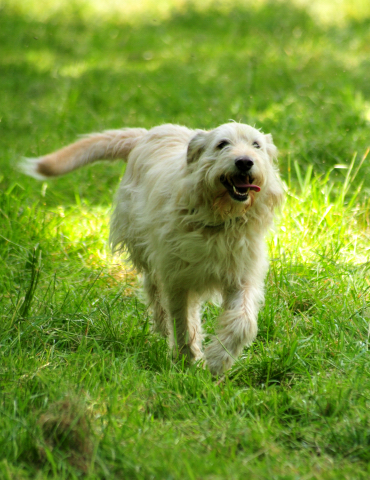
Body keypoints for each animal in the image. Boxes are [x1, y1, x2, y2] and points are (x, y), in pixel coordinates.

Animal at [21, 121, 284, 376]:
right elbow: (183, 322)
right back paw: (163, 325)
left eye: (256, 145)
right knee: (154, 289)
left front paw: (217, 361)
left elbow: (243, 322)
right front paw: (188, 361)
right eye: (222, 144)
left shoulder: (241, 276)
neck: (217, 221)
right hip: (144, 247)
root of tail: (147, 133)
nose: (245, 161)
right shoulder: (177, 279)